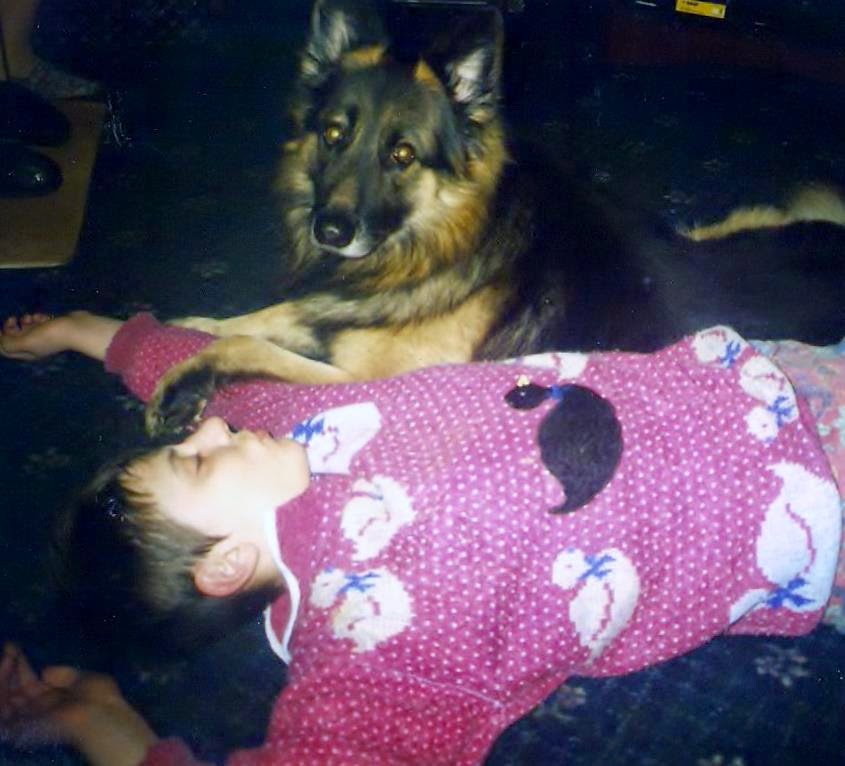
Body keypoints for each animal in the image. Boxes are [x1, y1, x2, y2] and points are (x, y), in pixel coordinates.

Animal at [145, 0, 845, 436]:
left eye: (402, 154)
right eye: (334, 134)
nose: (331, 231)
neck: (434, 244)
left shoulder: (365, 377)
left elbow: (250, 343)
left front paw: (183, 379)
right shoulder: (338, 302)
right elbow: (256, 318)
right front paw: (177, 330)